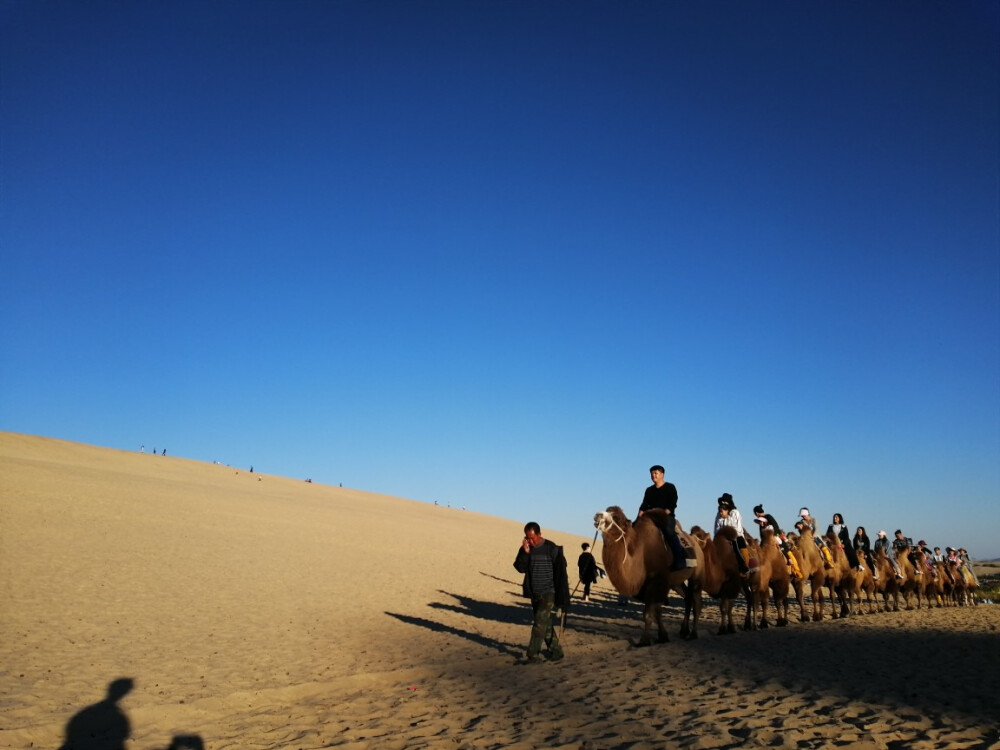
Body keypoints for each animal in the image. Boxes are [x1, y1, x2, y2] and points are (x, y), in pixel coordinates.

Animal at [592, 506, 704, 648]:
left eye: (617, 518)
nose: (598, 515)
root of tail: (697, 544)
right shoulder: (653, 585)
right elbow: (657, 611)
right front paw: (663, 636)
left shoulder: (657, 582)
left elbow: (649, 614)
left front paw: (644, 641)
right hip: (676, 582)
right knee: (688, 598)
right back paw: (684, 631)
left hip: (696, 576)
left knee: (697, 602)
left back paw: (693, 634)